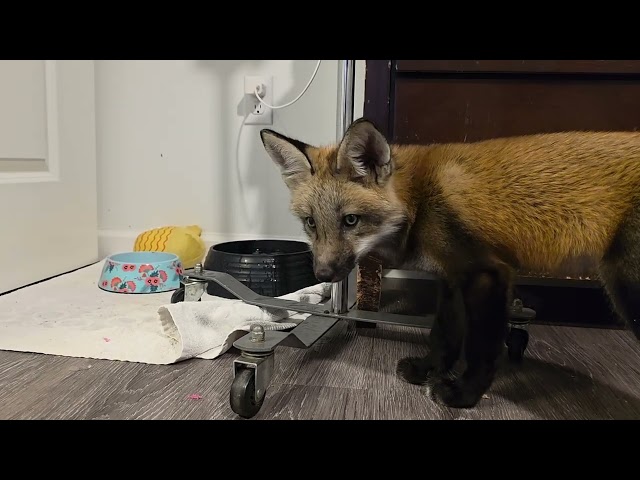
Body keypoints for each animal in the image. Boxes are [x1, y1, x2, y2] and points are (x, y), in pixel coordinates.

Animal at [259, 117, 640, 409]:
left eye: (351, 221)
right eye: (311, 223)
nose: (322, 274)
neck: (421, 200)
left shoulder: (486, 274)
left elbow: (482, 348)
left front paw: (463, 394)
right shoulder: (452, 279)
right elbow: (443, 334)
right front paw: (428, 369)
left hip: (626, 289)